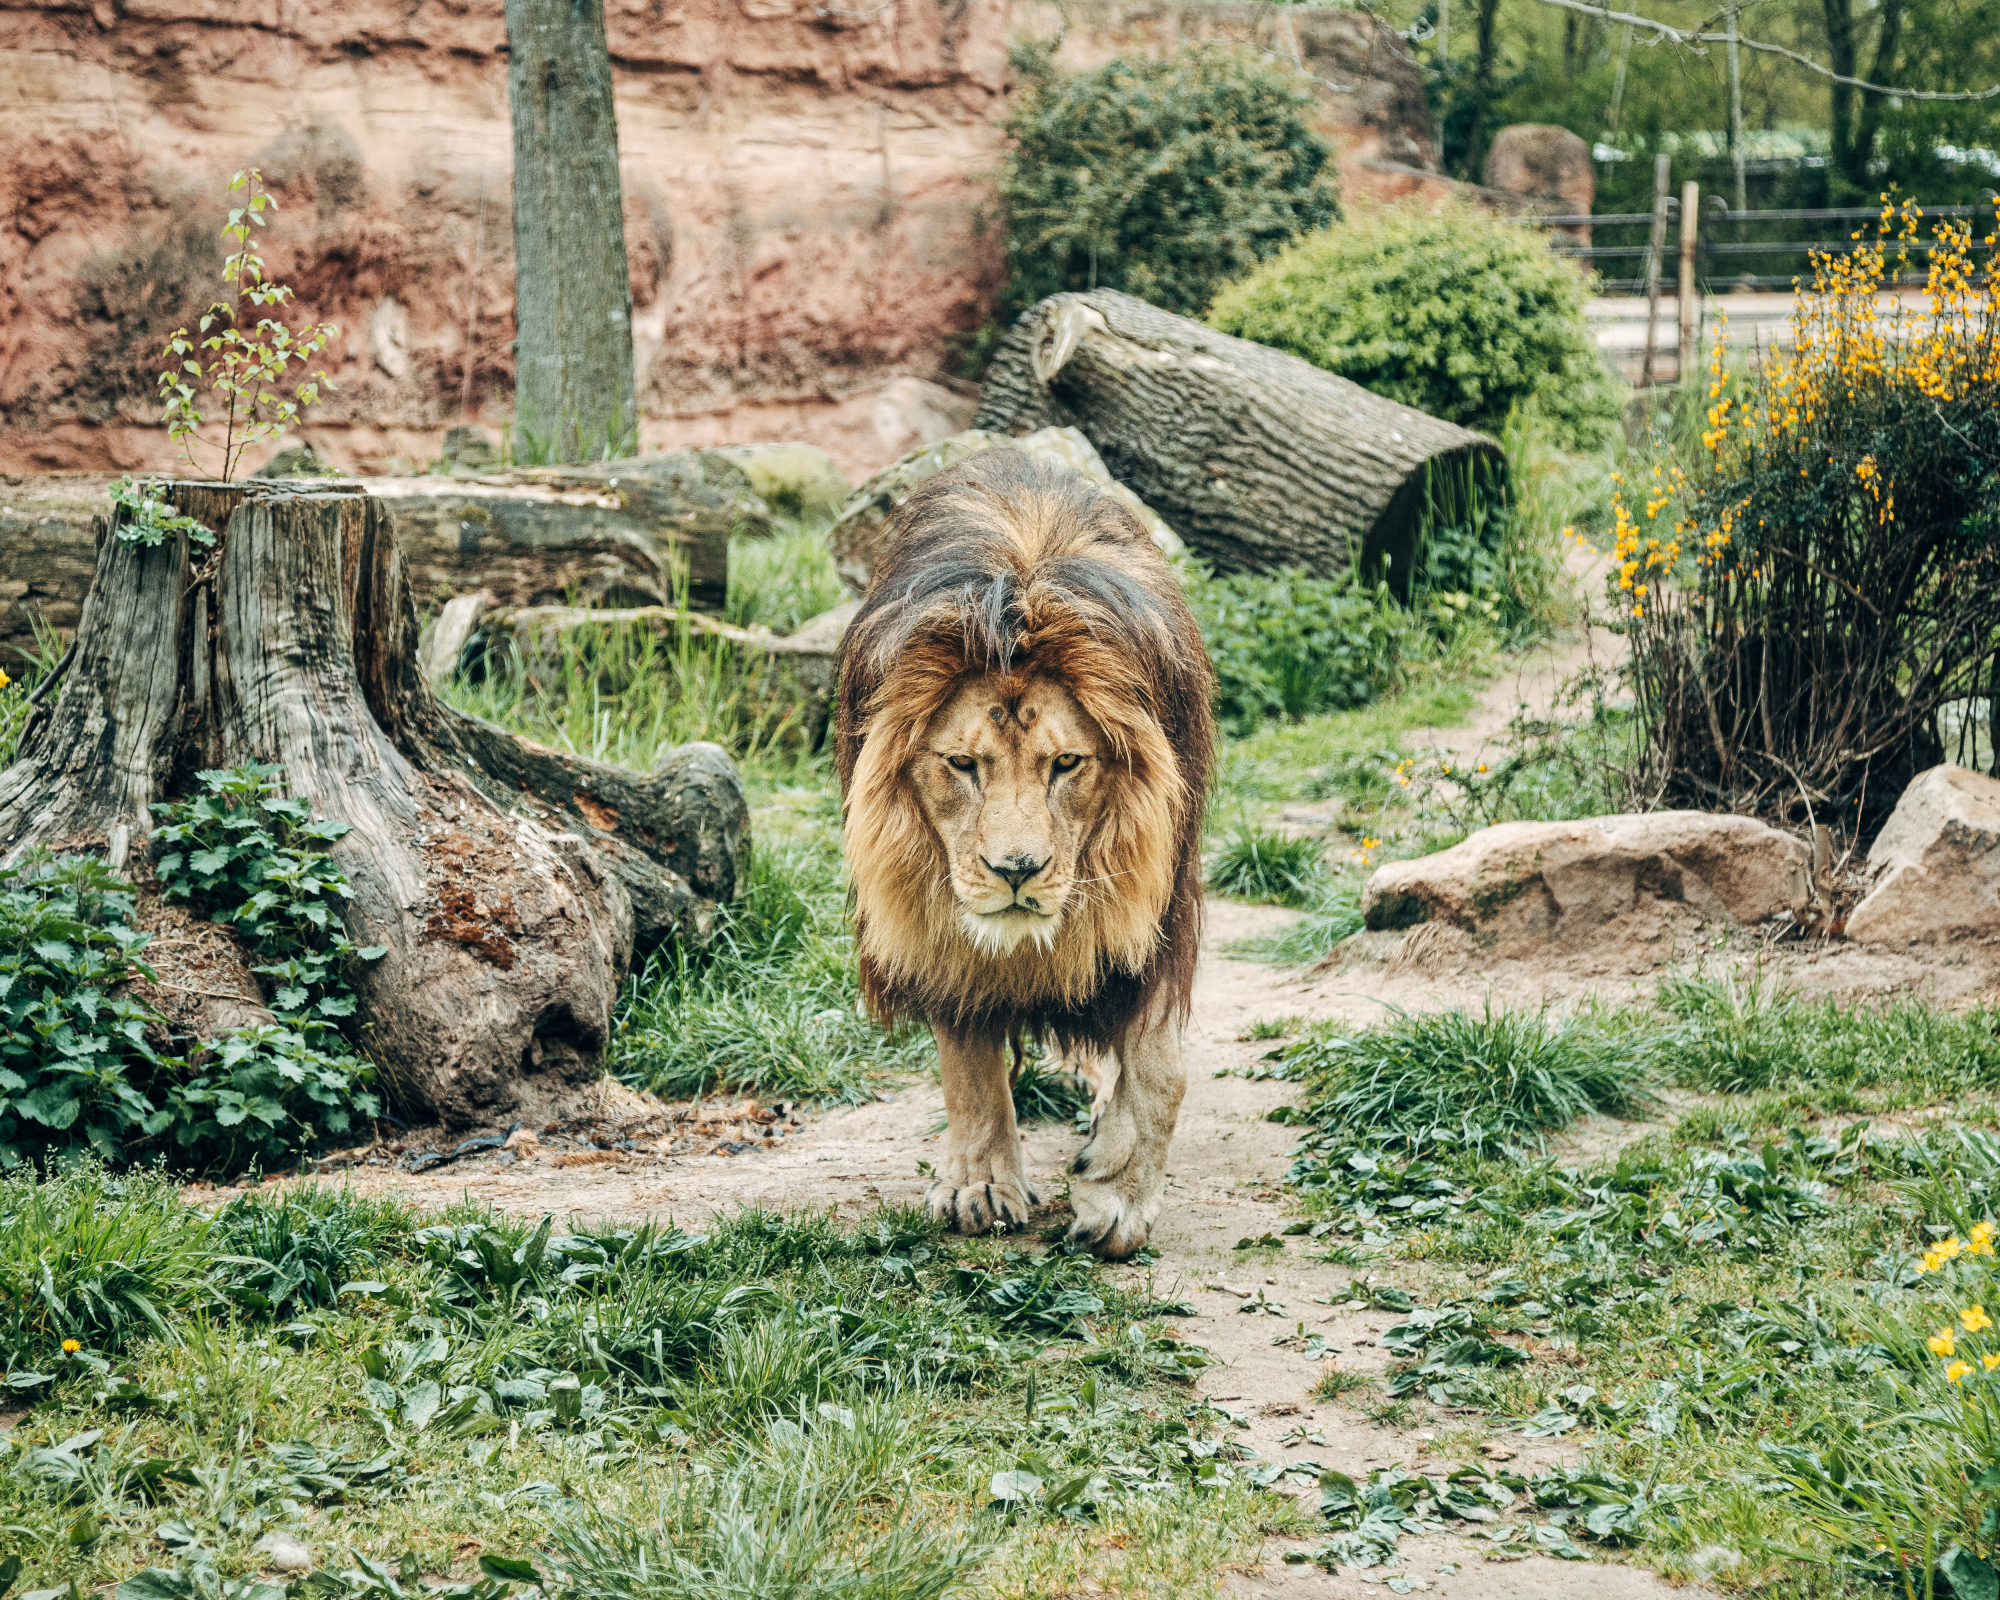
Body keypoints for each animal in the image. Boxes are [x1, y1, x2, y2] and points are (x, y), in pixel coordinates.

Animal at [835, 450, 1215, 1259]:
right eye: (962, 765)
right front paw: (979, 1185)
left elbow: (1159, 1068)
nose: (1016, 873)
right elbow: (969, 1061)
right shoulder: (936, 925)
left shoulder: (1160, 907)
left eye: (1065, 764)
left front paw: (1117, 1194)